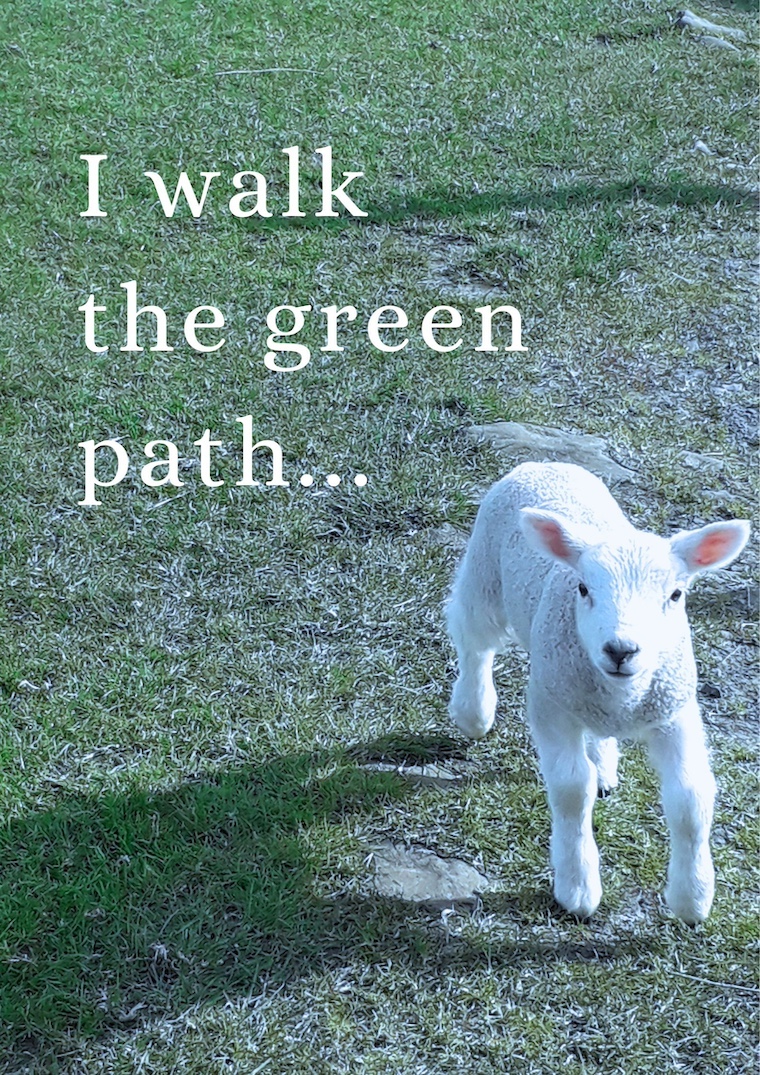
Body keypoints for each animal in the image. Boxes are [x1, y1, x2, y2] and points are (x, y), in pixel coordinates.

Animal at [447, 461, 750, 923]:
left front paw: (693, 897)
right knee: (473, 639)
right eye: (583, 589)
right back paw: (474, 712)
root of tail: (543, 463)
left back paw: (604, 764)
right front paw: (577, 888)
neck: (622, 695)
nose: (620, 649)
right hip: (484, 574)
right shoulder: (551, 704)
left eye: (676, 594)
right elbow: (573, 789)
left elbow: (690, 798)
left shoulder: (675, 711)